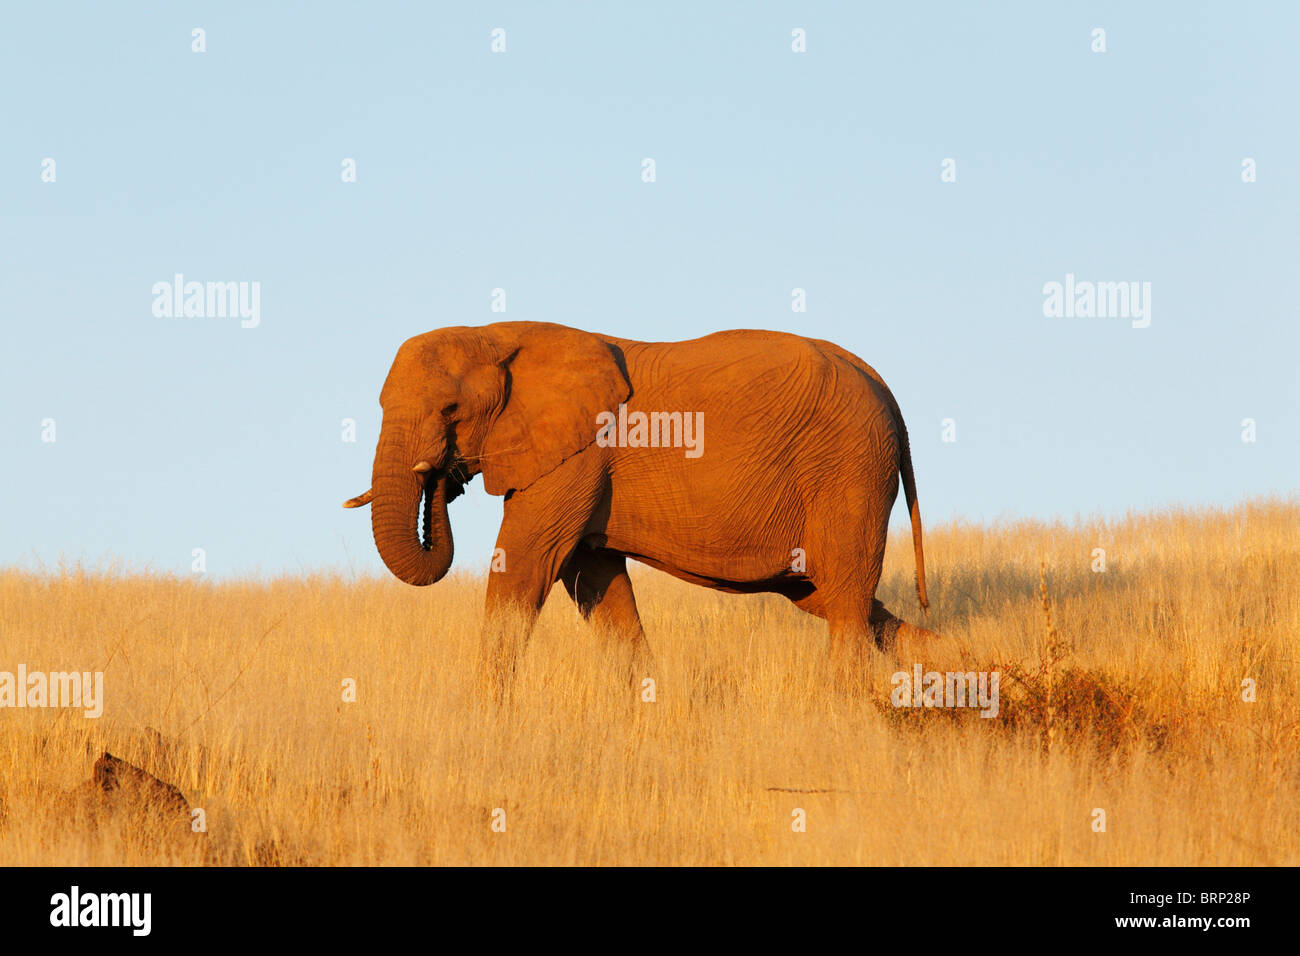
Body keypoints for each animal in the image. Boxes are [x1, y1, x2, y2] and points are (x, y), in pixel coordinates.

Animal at [345, 321, 935, 697]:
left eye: (451, 410)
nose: (443, 477)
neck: (497, 335)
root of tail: (885, 389)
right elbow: (593, 580)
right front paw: (644, 704)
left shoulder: (578, 455)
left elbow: (526, 564)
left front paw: (485, 714)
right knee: (836, 597)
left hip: (849, 470)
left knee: (846, 594)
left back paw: (846, 703)